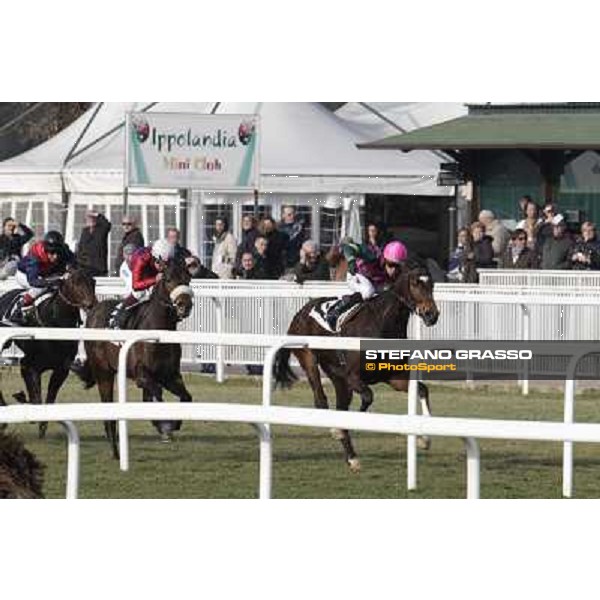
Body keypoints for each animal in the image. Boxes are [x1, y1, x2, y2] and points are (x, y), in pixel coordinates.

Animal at [73, 260, 193, 458]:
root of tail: (94, 311)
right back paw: (115, 450)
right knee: (108, 409)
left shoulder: (170, 375)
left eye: (188, 278)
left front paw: (173, 424)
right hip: (103, 372)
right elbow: (157, 394)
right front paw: (165, 425)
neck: (158, 332)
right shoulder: (141, 374)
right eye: (168, 279)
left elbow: (186, 397)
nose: (185, 305)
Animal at [274, 262, 438, 474]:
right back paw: (338, 435)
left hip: (336, 375)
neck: (381, 325)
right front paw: (342, 428)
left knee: (339, 404)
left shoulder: (393, 377)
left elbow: (422, 389)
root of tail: (301, 312)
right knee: (321, 399)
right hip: (309, 360)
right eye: (416, 284)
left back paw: (352, 458)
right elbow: (368, 397)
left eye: (432, 285)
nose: (432, 314)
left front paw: (424, 439)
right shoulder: (352, 376)